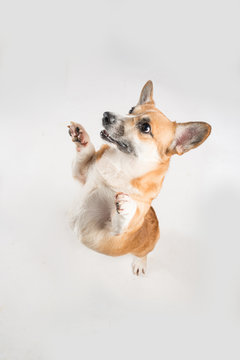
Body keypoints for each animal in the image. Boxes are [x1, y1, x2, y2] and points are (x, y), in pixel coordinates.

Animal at [67, 80, 210, 274]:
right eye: (131, 109)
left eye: (145, 127)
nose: (106, 115)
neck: (121, 164)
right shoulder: (81, 174)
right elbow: (85, 154)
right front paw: (82, 137)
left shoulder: (114, 232)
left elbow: (123, 219)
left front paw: (128, 205)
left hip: (146, 247)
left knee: (143, 254)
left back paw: (140, 263)